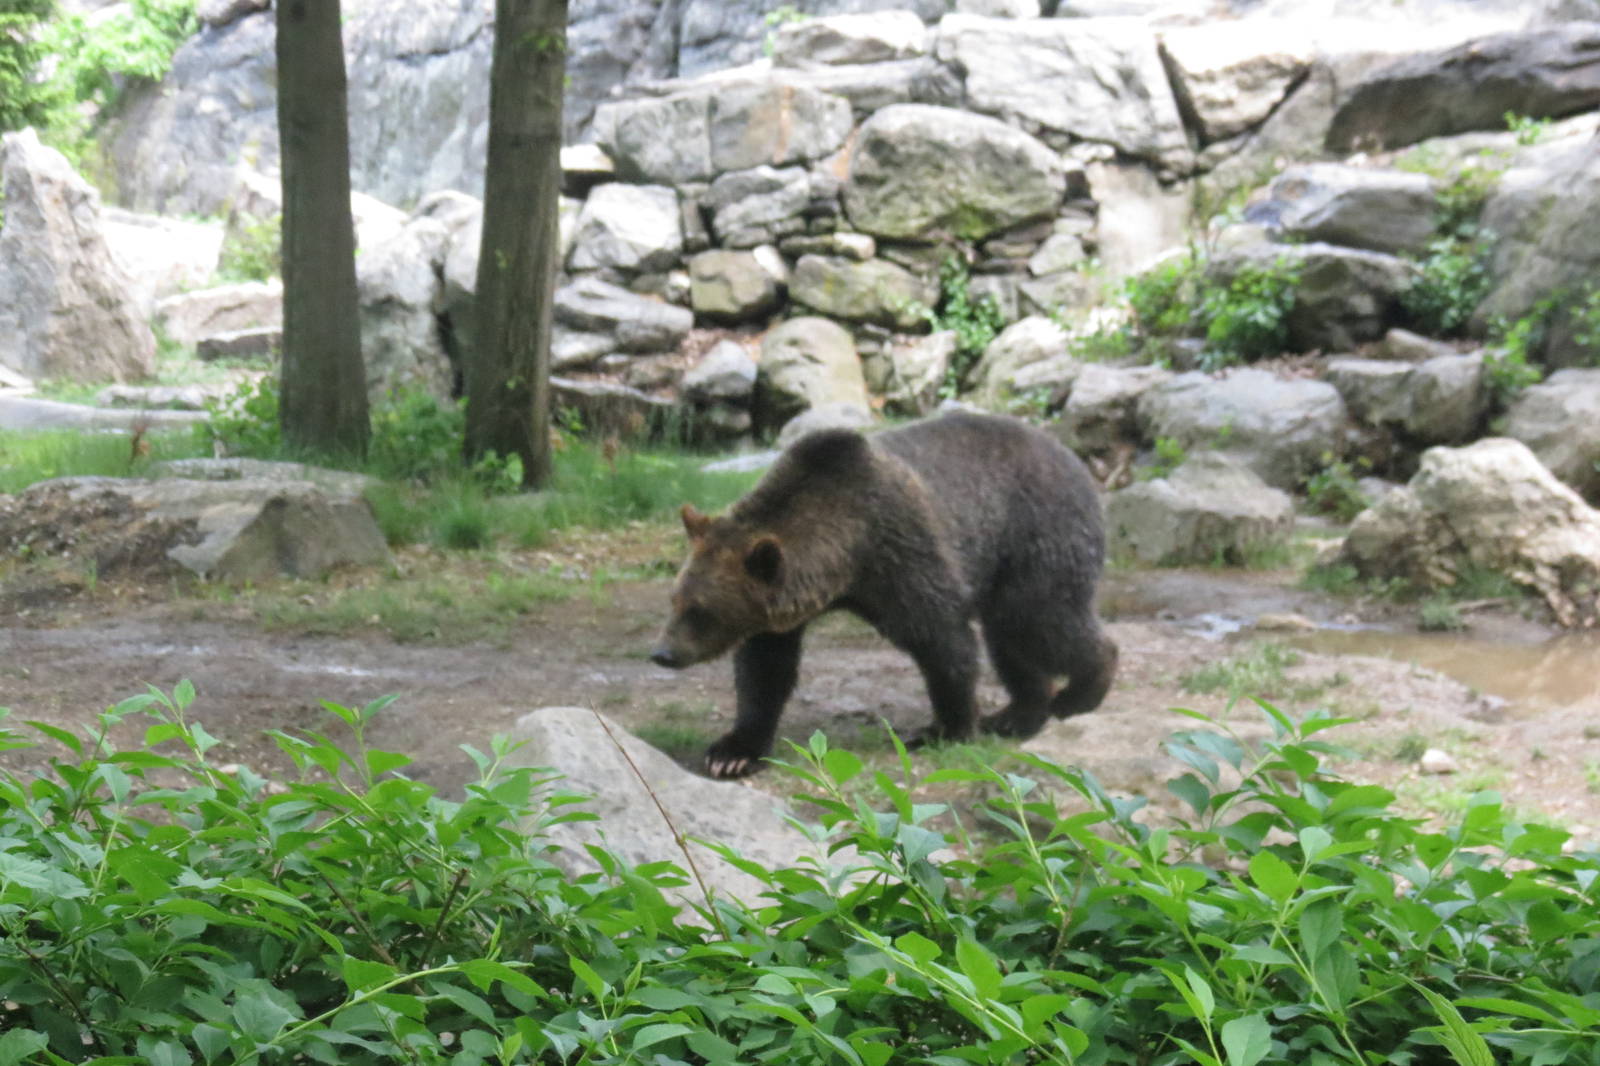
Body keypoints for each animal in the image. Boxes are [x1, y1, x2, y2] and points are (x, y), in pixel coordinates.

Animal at [650, 410, 1118, 779]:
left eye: (700, 610)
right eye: (674, 599)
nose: (662, 653)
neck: (845, 558)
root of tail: (1071, 456)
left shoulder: (902, 554)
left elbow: (943, 641)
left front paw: (945, 727)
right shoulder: (783, 610)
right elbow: (764, 671)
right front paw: (732, 752)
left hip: (1035, 532)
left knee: (1037, 619)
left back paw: (1080, 693)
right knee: (1010, 638)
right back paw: (1017, 714)